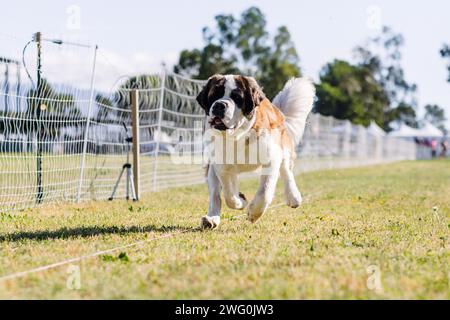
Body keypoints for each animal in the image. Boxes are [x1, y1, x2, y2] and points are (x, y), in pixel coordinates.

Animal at [195, 74, 314, 229]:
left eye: (237, 97)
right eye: (214, 95)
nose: (219, 105)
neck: (237, 136)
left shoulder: (272, 158)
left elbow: (265, 191)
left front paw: (254, 213)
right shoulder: (221, 164)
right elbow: (228, 193)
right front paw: (241, 201)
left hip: (284, 149)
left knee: (286, 171)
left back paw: (293, 197)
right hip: (212, 169)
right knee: (216, 194)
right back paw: (211, 219)